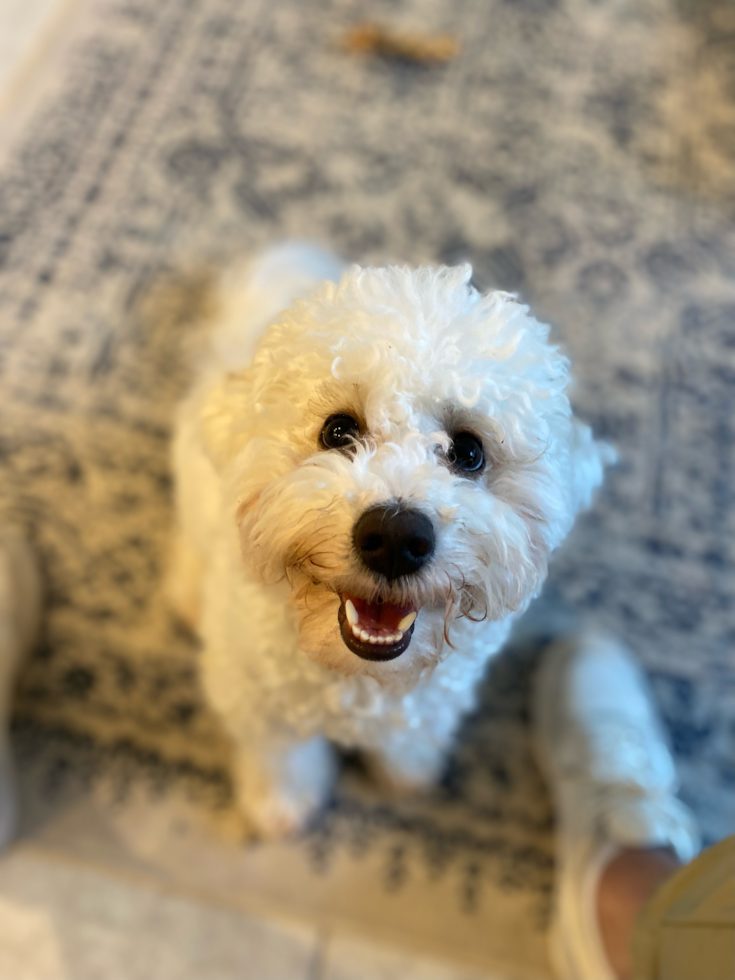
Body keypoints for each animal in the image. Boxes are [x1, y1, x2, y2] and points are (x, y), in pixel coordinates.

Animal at [170, 241, 612, 840]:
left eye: (468, 452)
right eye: (338, 431)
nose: (396, 537)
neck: (360, 679)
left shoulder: (432, 698)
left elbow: (409, 738)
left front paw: (408, 774)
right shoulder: (256, 699)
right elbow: (281, 754)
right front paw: (282, 805)